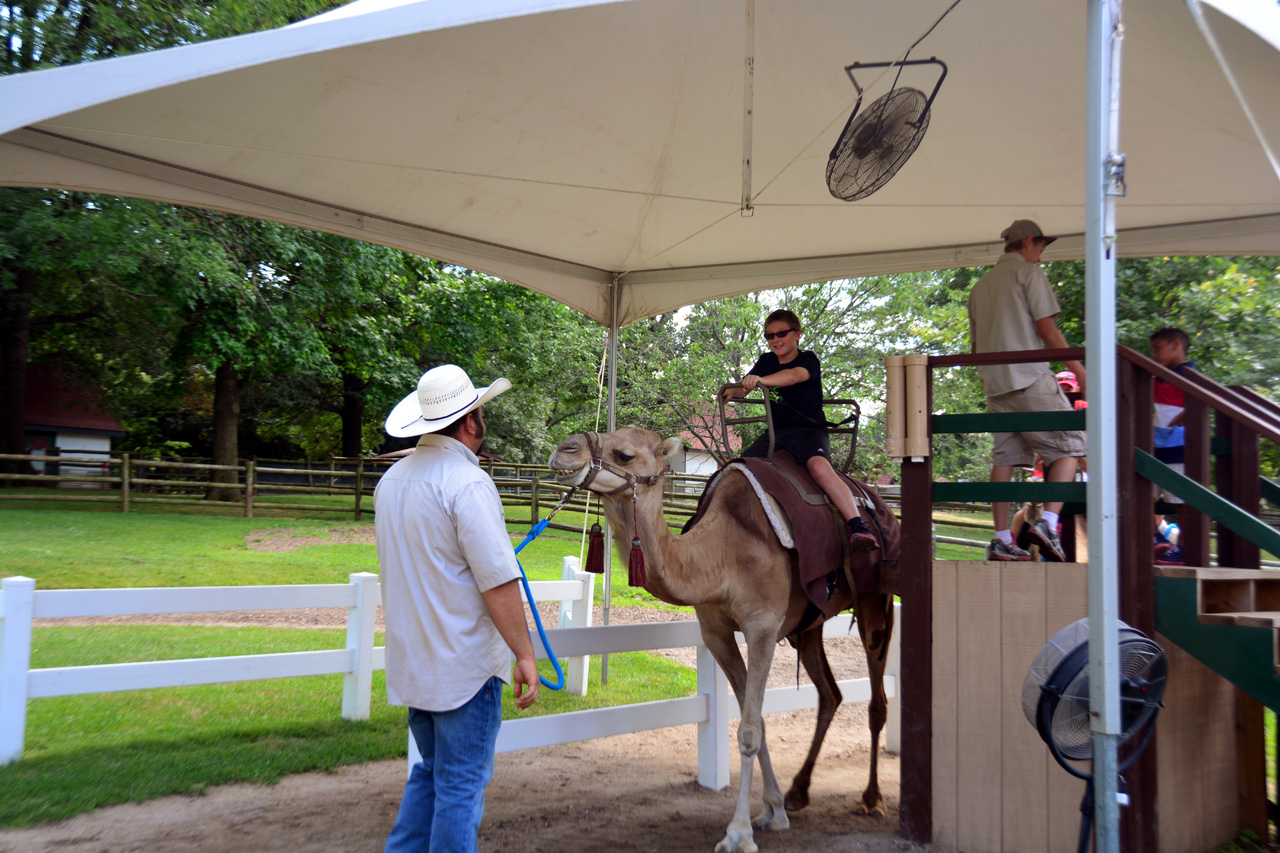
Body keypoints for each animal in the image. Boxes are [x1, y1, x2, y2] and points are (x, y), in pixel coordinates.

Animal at [545, 427, 896, 850]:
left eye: (625, 454)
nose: (564, 451)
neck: (722, 552)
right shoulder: (716, 632)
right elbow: (755, 719)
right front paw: (774, 810)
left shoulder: (762, 626)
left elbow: (749, 730)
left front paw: (739, 832)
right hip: (809, 625)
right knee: (830, 693)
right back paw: (798, 791)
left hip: (877, 601)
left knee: (877, 699)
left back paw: (872, 799)